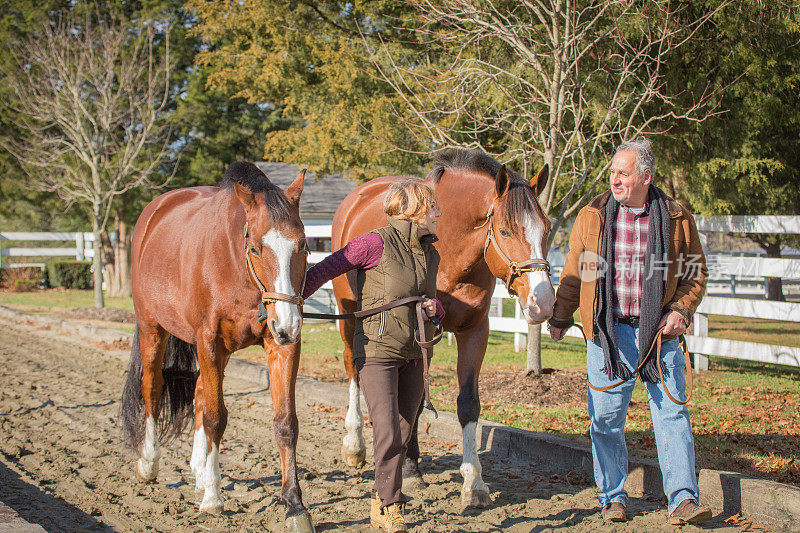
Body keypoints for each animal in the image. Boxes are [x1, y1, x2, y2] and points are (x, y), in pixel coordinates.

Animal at [122, 162, 316, 532]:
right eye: (255, 248)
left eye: (302, 246)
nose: (289, 325)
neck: (236, 268)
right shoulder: (208, 341)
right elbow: (215, 418)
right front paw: (212, 499)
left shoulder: (279, 346)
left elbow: (285, 423)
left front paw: (295, 505)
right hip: (152, 329)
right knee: (152, 388)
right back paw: (149, 463)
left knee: (199, 392)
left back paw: (200, 469)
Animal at [332, 150, 556, 508]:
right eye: (506, 231)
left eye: (547, 229)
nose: (543, 302)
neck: (452, 248)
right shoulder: (420, 328)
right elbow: (414, 400)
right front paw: (410, 469)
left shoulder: (474, 330)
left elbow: (466, 403)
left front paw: (474, 483)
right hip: (351, 314)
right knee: (353, 368)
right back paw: (354, 445)